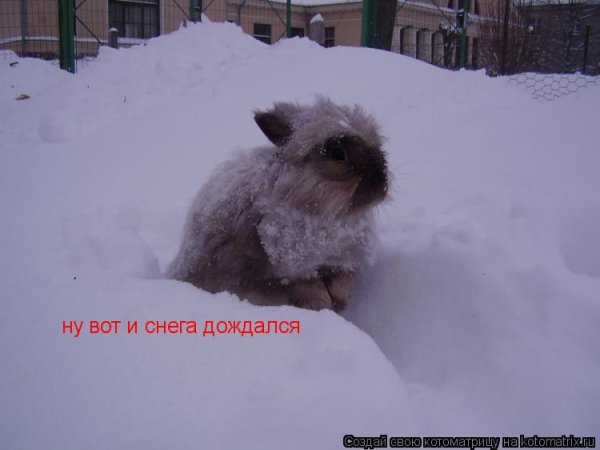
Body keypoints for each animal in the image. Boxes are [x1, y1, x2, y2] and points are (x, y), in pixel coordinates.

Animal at [166, 97, 388, 312]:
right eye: (336, 153)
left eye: (377, 147)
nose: (381, 185)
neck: (329, 217)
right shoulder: (293, 270)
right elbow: (312, 291)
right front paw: (324, 310)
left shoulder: (343, 263)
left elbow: (341, 283)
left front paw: (340, 305)